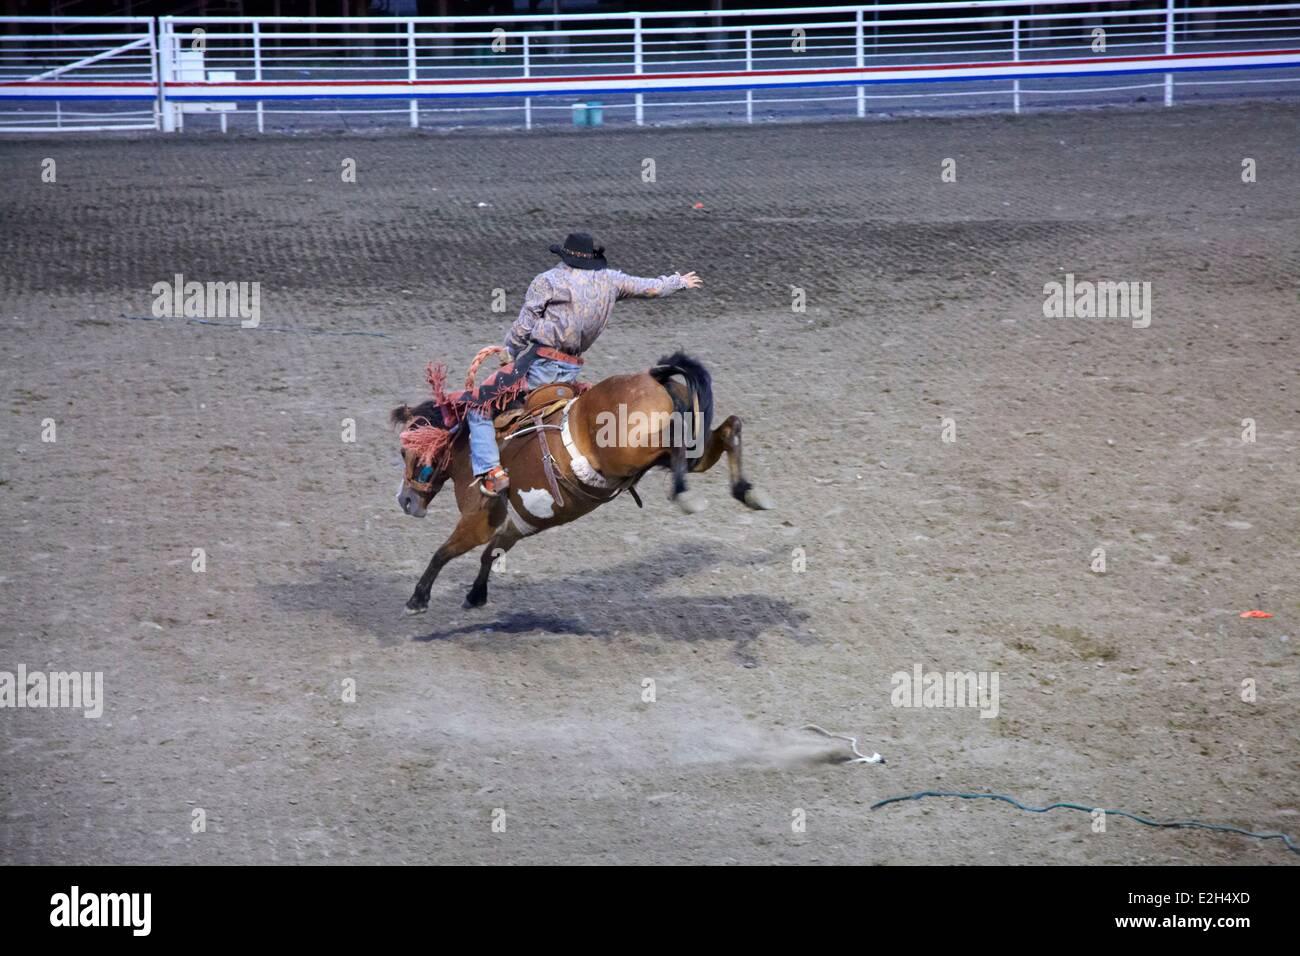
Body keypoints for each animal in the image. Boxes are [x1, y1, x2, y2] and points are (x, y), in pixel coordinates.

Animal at [384, 345, 769, 613]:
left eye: (406, 451)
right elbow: (490, 555)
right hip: (687, 449)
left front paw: (417, 599)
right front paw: (476, 595)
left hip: (640, 449)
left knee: (677, 447)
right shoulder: (517, 525)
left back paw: (686, 495)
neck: (467, 448)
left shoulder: (478, 521)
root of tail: (653, 376)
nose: (405, 500)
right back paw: (748, 493)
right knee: (729, 429)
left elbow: (443, 553)